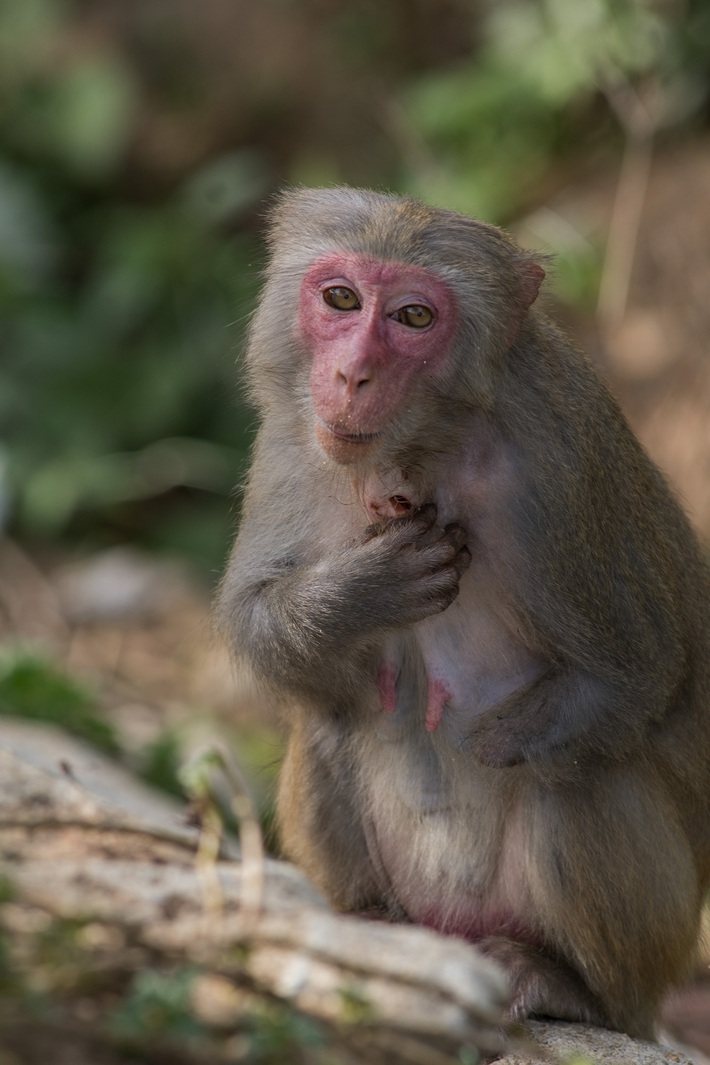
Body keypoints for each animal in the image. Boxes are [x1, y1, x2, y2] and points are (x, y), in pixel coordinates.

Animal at [217, 185, 710, 1039]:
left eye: (414, 317)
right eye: (341, 299)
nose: (352, 374)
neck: (425, 446)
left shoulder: (559, 465)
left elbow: (642, 670)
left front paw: (493, 737)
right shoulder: (292, 436)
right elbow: (257, 620)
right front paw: (360, 593)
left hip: (649, 947)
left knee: (575, 776)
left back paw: (573, 988)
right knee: (332, 718)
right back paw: (372, 922)